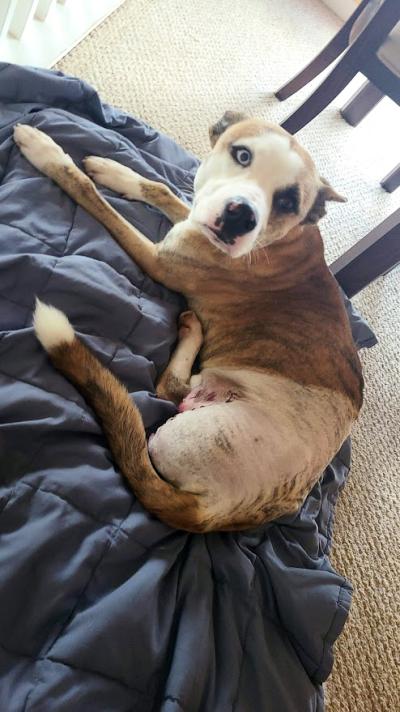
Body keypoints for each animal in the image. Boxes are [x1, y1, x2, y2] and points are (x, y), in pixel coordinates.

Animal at [13, 114, 362, 532]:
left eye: (288, 201)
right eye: (242, 155)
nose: (241, 216)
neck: (275, 241)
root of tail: (213, 514)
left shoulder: (157, 260)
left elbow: (85, 188)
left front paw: (46, 151)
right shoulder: (193, 222)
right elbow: (161, 188)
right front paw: (115, 172)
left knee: (167, 388)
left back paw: (191, 329)